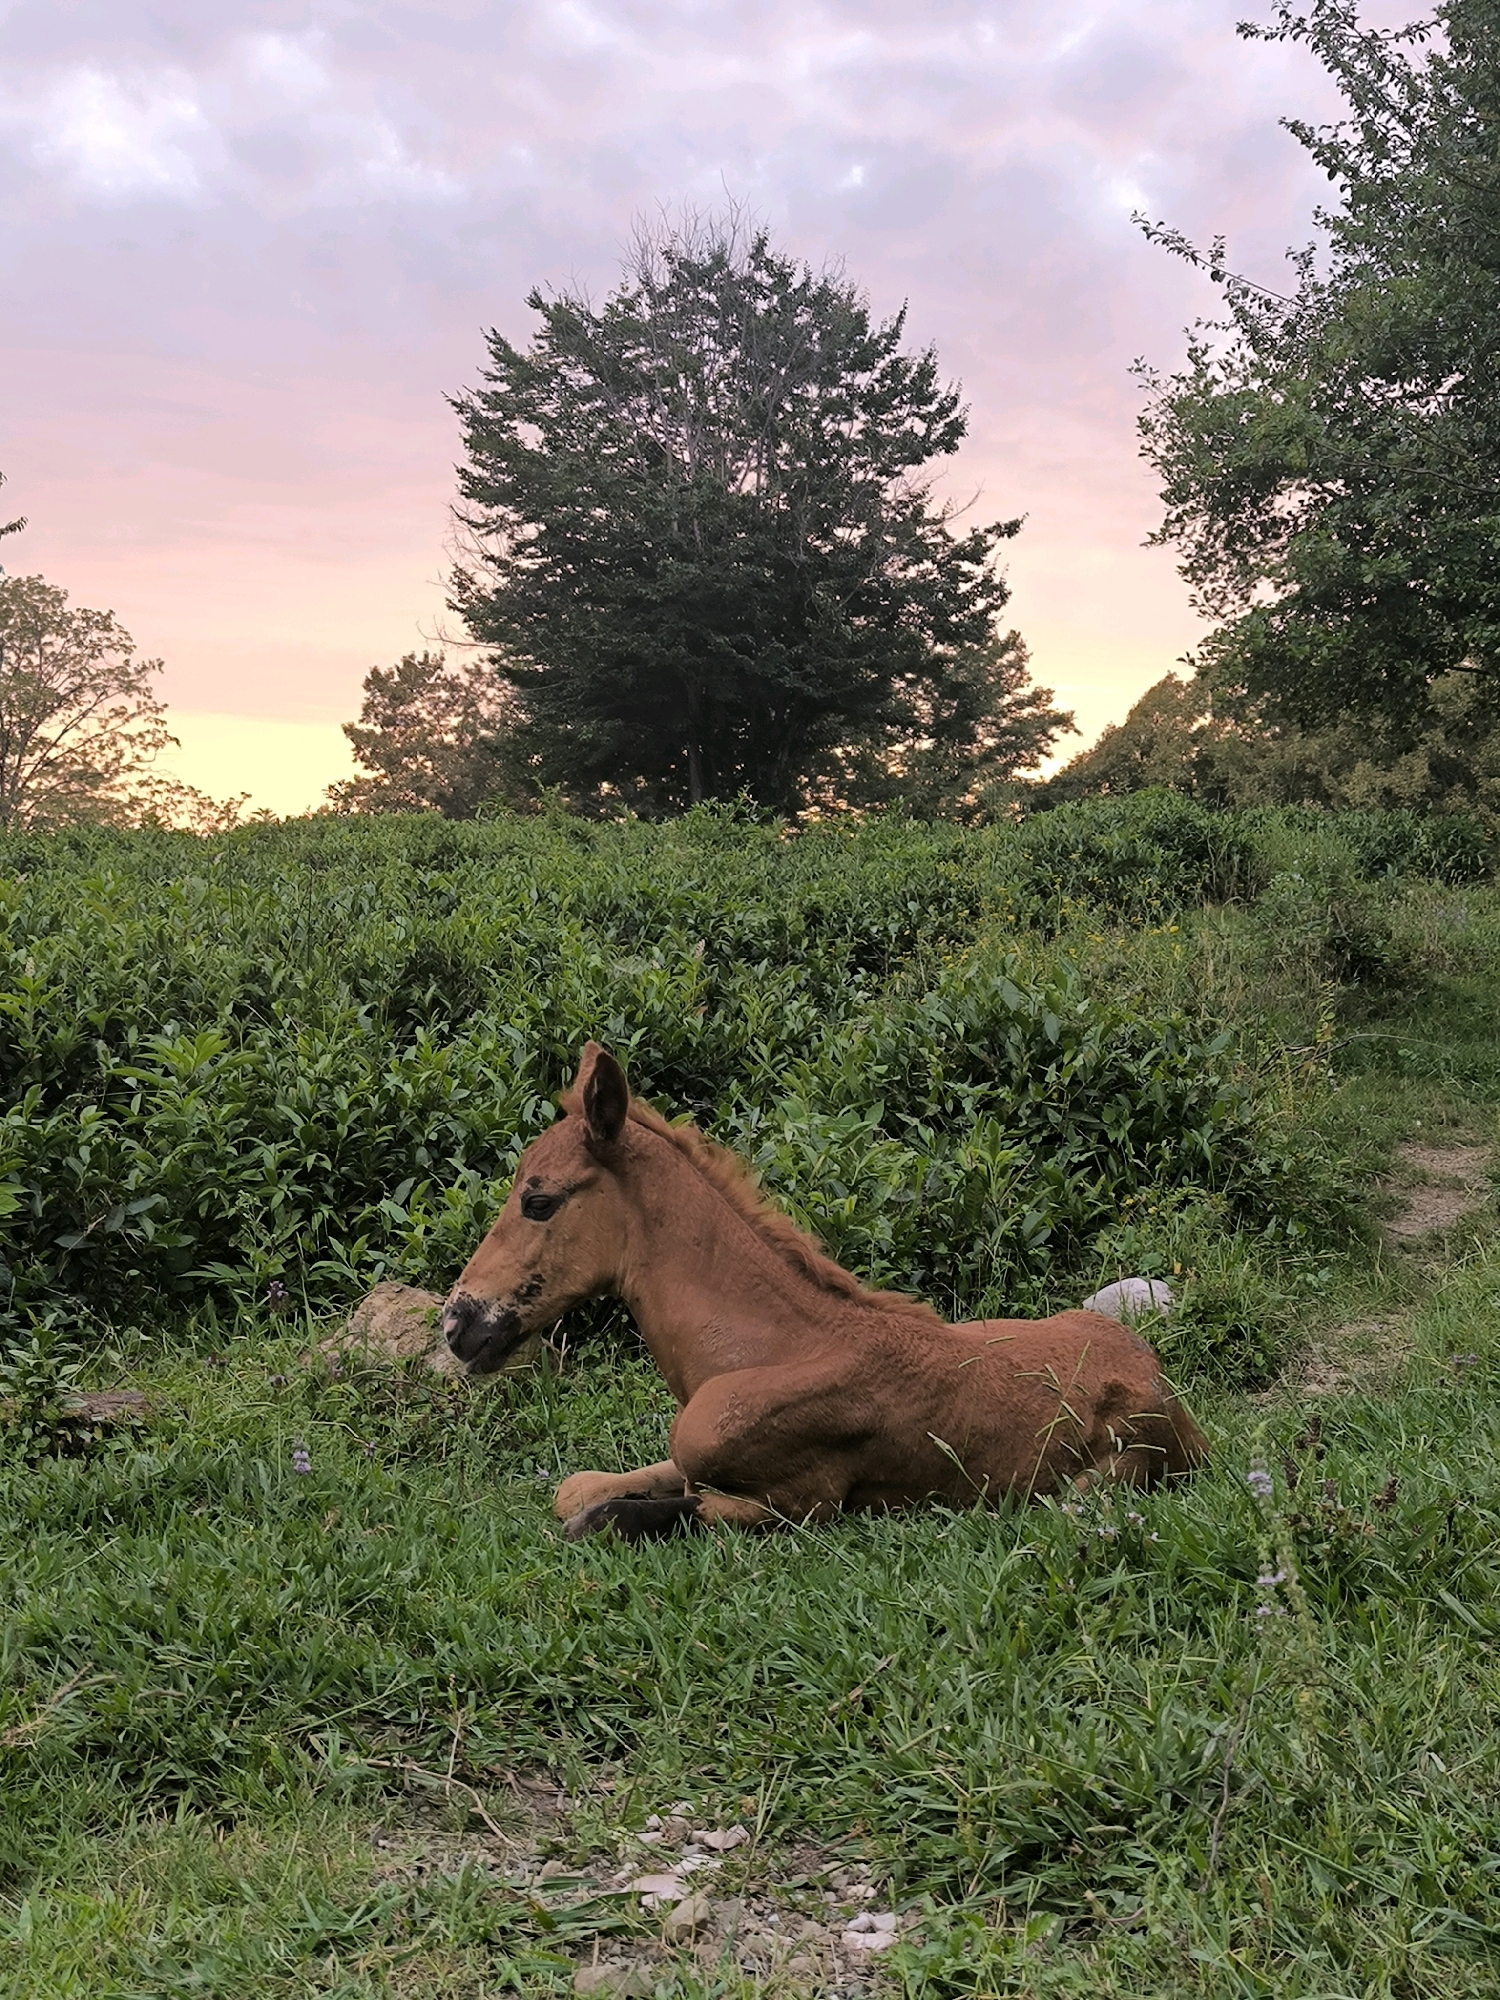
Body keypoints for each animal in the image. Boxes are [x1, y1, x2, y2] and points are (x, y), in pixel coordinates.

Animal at [442, 1043, 1207, 1540]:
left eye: (538, 1201)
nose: (457, 1324)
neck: (769, 1346)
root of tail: (1165, 1386)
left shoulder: (803, 1501)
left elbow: (605, 1517)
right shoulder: (684, 1463)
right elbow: (573, 1489)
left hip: (1109, 1475)